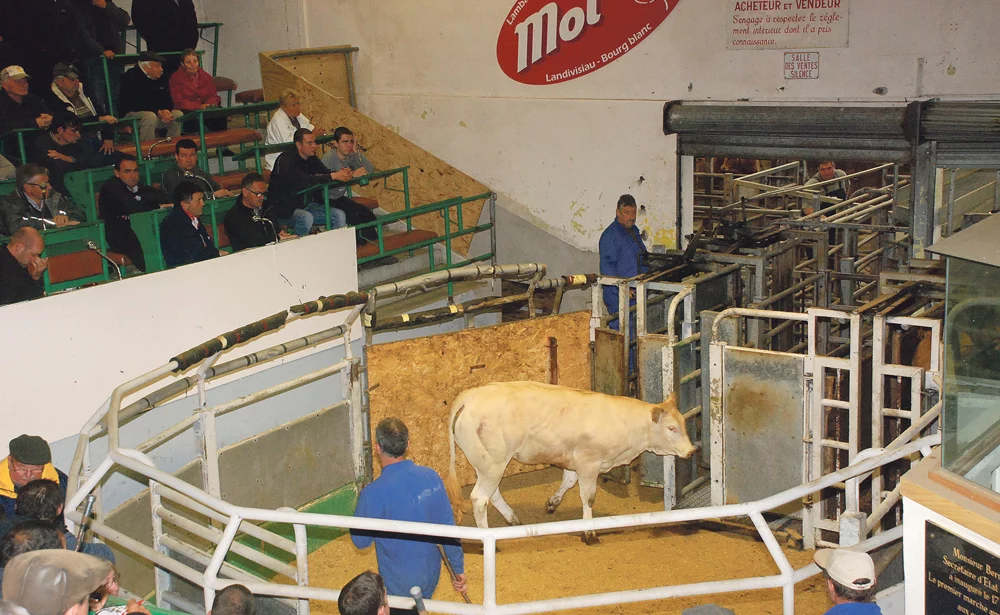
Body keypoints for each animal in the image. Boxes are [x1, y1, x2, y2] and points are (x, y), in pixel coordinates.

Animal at [446, 380, 696, 544]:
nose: (691, 450)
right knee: (479, 498)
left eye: (683, 424)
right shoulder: (589, 462)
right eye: (671, 428)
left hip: (488, 464)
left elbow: (568, 481)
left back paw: (512, 518)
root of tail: (472, 396)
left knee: (492, 493)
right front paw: (589, 531)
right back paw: (486, 537)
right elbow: (588, 497)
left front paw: (552, 503)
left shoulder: (573, 459)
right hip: (493, 463)